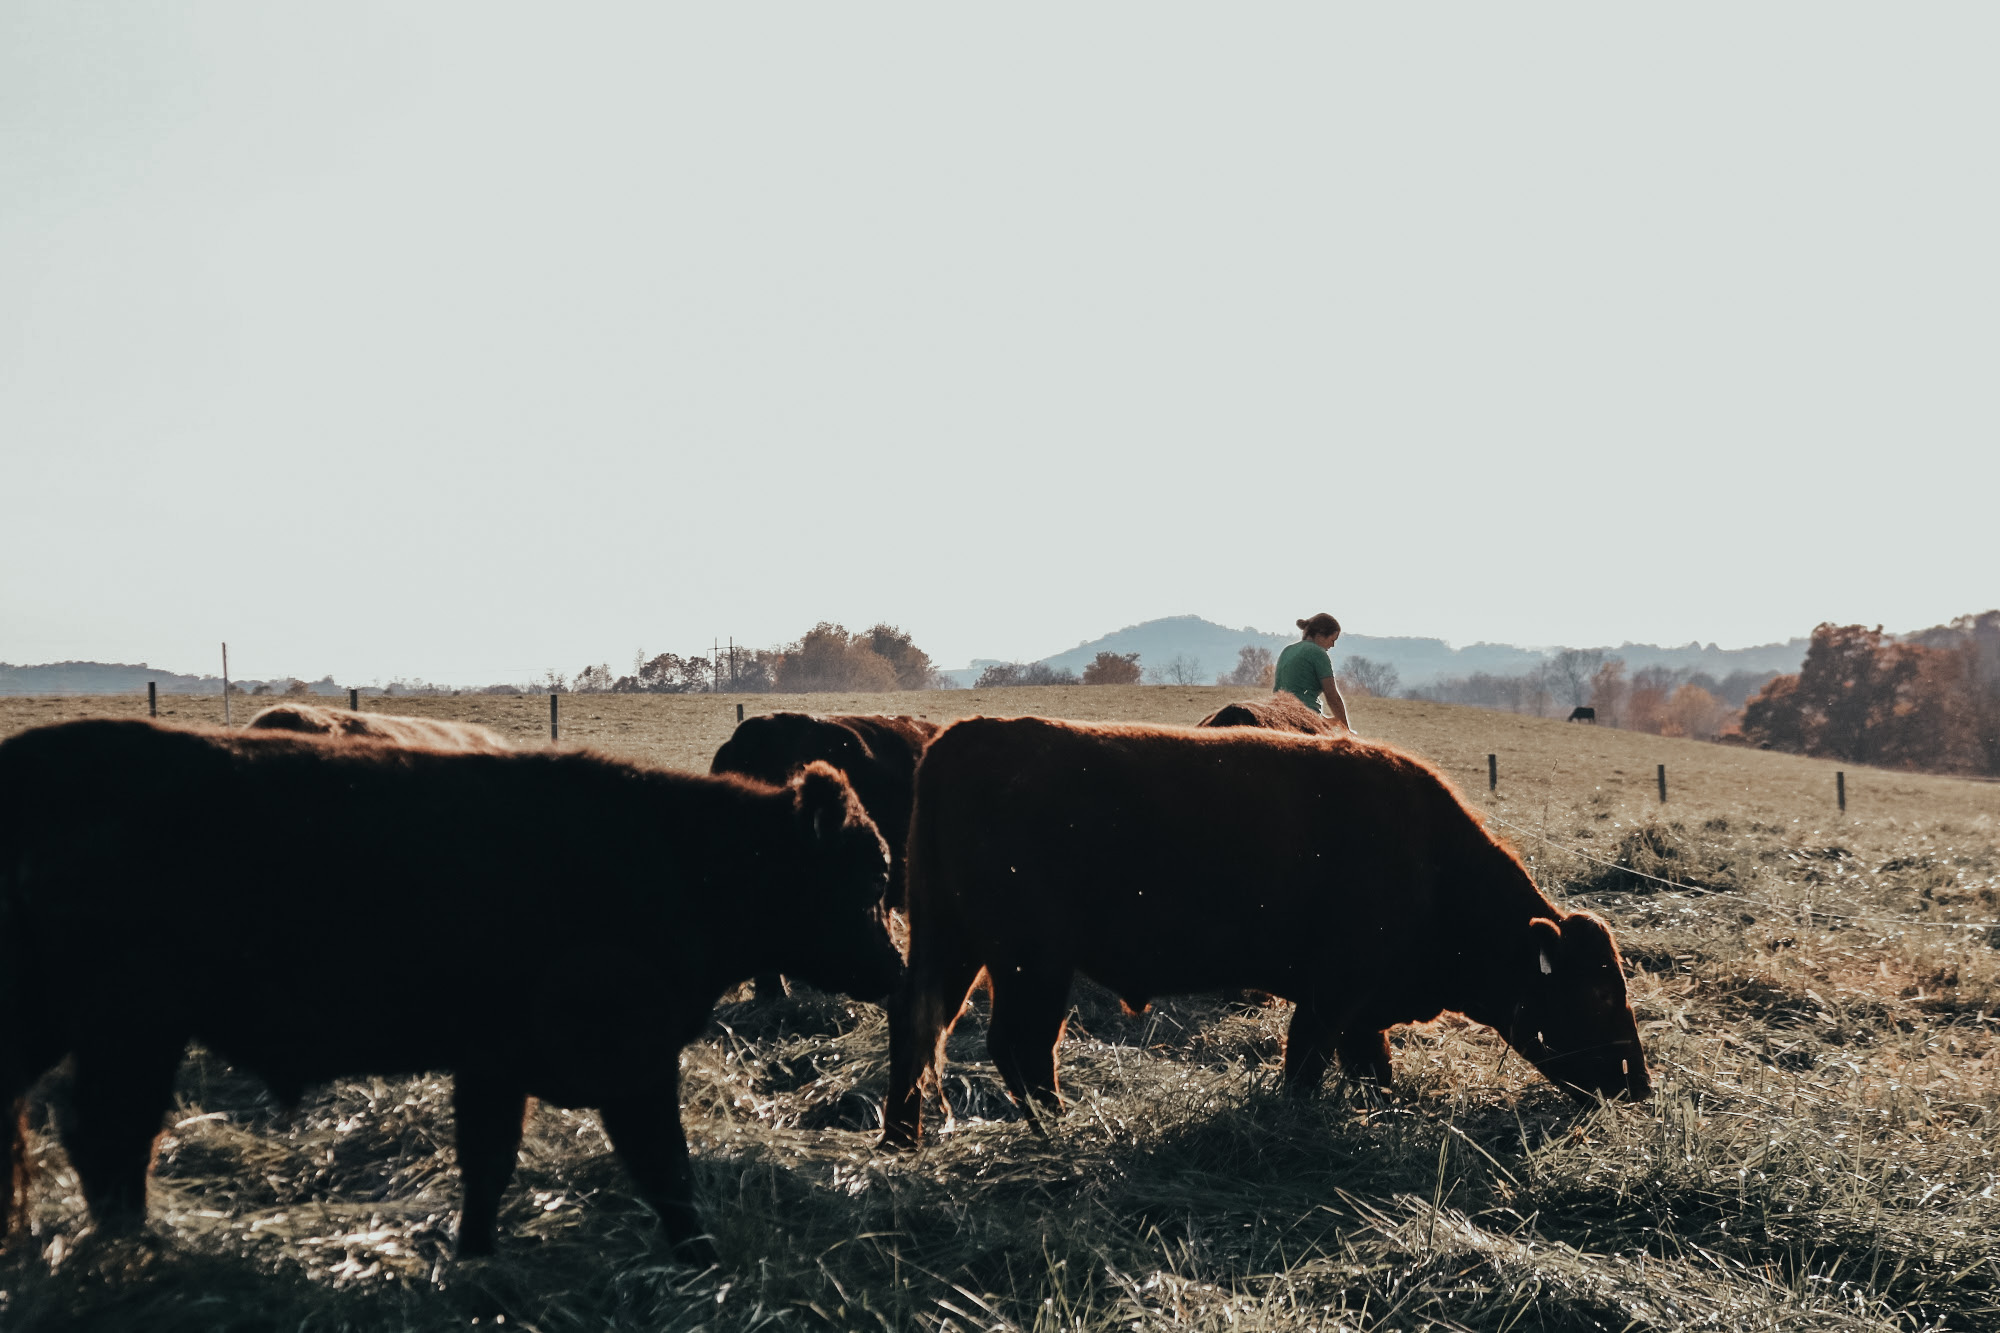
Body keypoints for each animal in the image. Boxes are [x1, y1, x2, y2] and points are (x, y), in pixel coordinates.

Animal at [0, 719, 903, 1263]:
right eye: (866, 878)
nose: (895, 972)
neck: (684, 856)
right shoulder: (630, 1061)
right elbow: (665, 1169)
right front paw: (704, 1260)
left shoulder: (495, 1064)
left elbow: (488, 1164)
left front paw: (475, 1255)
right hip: (128, 1028)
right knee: (108, 1138)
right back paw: (136, 1256)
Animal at [880, 717, 1649, 1149]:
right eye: (1599, 995)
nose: (1637, 1087)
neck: (1433, 865)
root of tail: (958, 738)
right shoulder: (1331, 995)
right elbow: (1304, 1064)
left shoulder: (1362, 1011)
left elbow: (1371, 1069)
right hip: (1030, 962)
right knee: (1021, 1046)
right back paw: (1060, 1130)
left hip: (953, 946)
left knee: (919, 1028)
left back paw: (902, 1141)